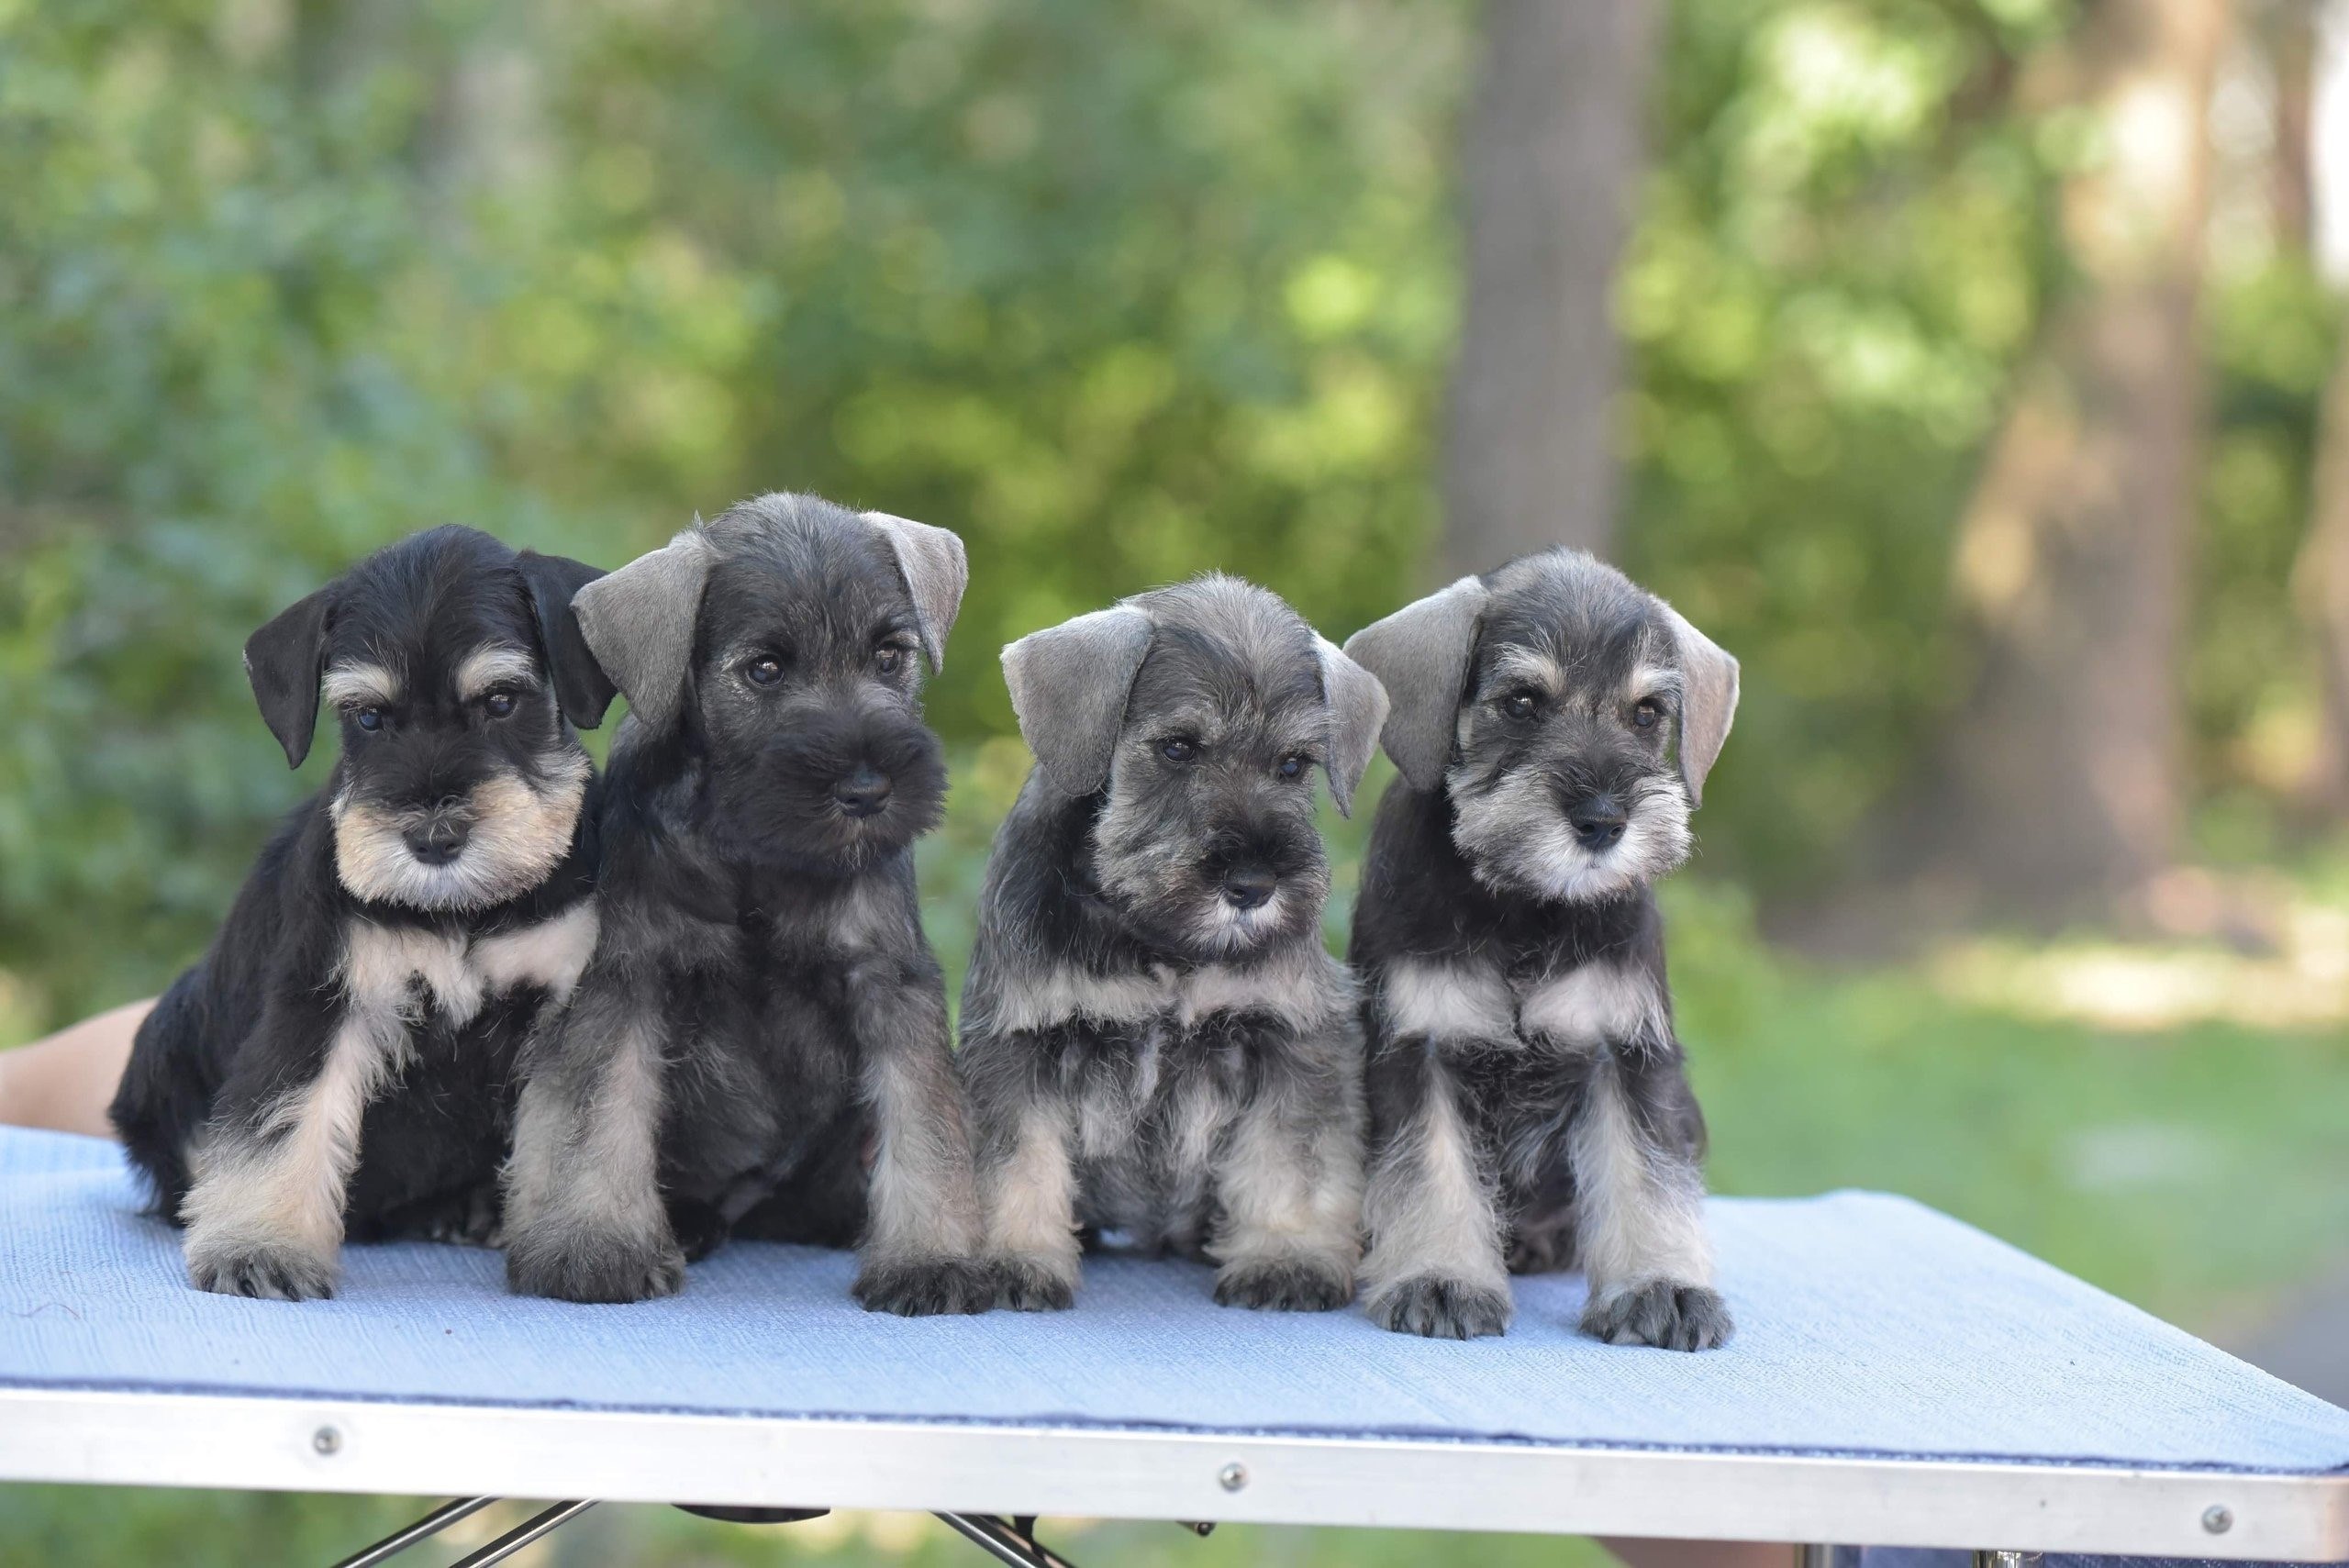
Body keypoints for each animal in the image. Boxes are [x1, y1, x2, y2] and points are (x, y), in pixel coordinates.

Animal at [110, 526, 610, 1296]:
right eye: (368, 716)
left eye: (502, 700)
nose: (434, 838)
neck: (460, 911)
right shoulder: (324, 1001)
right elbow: (285, 1120)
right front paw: (259, 1248)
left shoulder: (563, 1009)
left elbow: (578, 1130)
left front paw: (581, 1242)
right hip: (166, 1036)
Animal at [505, 490, 991, 1314]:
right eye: (765, 668)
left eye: (889, 654)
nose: (868, 789)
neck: (757, 852)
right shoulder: (627, 976)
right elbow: (603, 1104)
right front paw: (597, 1244)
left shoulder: (889, 979)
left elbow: (925, 1118)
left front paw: (932, 1257)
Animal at [958, 574, 1381, 1314]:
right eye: (1178, 747)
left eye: (1293, 764)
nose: (1253, 884)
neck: (1160, 939)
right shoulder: (1016, 1044)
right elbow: (1014, 1163)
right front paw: (1013, 1260)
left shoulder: (1291, 1038)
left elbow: (1288, 1159)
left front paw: (1285, 1258)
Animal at [1343, 551, 1747, 1351]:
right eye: (1522, 701)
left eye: (1647, 713)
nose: (1603, 820)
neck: (1527, 908)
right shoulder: (1416, 1048)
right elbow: (1431, 1170)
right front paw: (1439, 1276)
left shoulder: (1629, 1055)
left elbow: (1646, 1174)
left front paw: (1660, 1287)